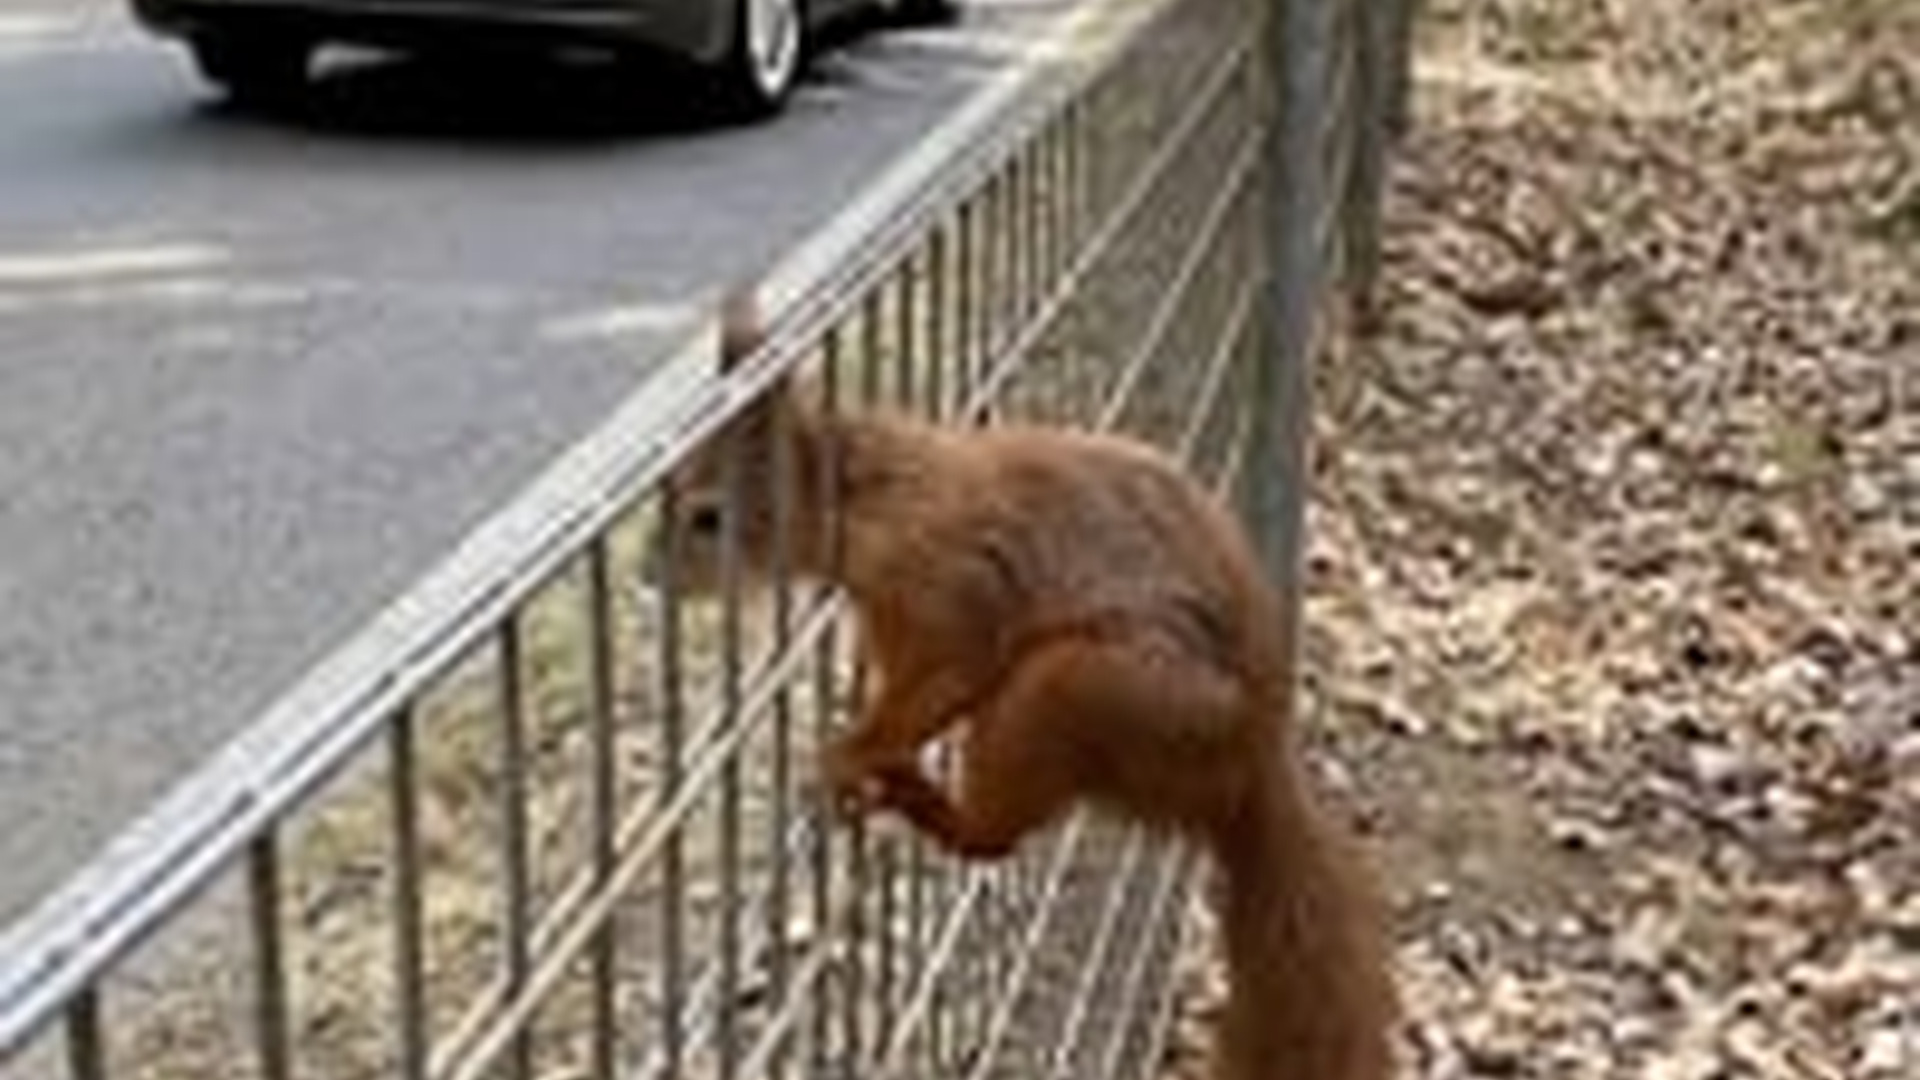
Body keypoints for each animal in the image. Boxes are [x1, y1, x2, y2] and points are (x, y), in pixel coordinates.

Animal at [662, 291, 1398, 1080]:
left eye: (707, 516)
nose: (649, 575)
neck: (873, 494)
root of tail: (1247, 764)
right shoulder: (891, 614)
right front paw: (852, 709)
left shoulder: (949, 589)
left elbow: (947, 675)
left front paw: (850, 753)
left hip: (1083, 693)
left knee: (992, 839)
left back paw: (919, 796)